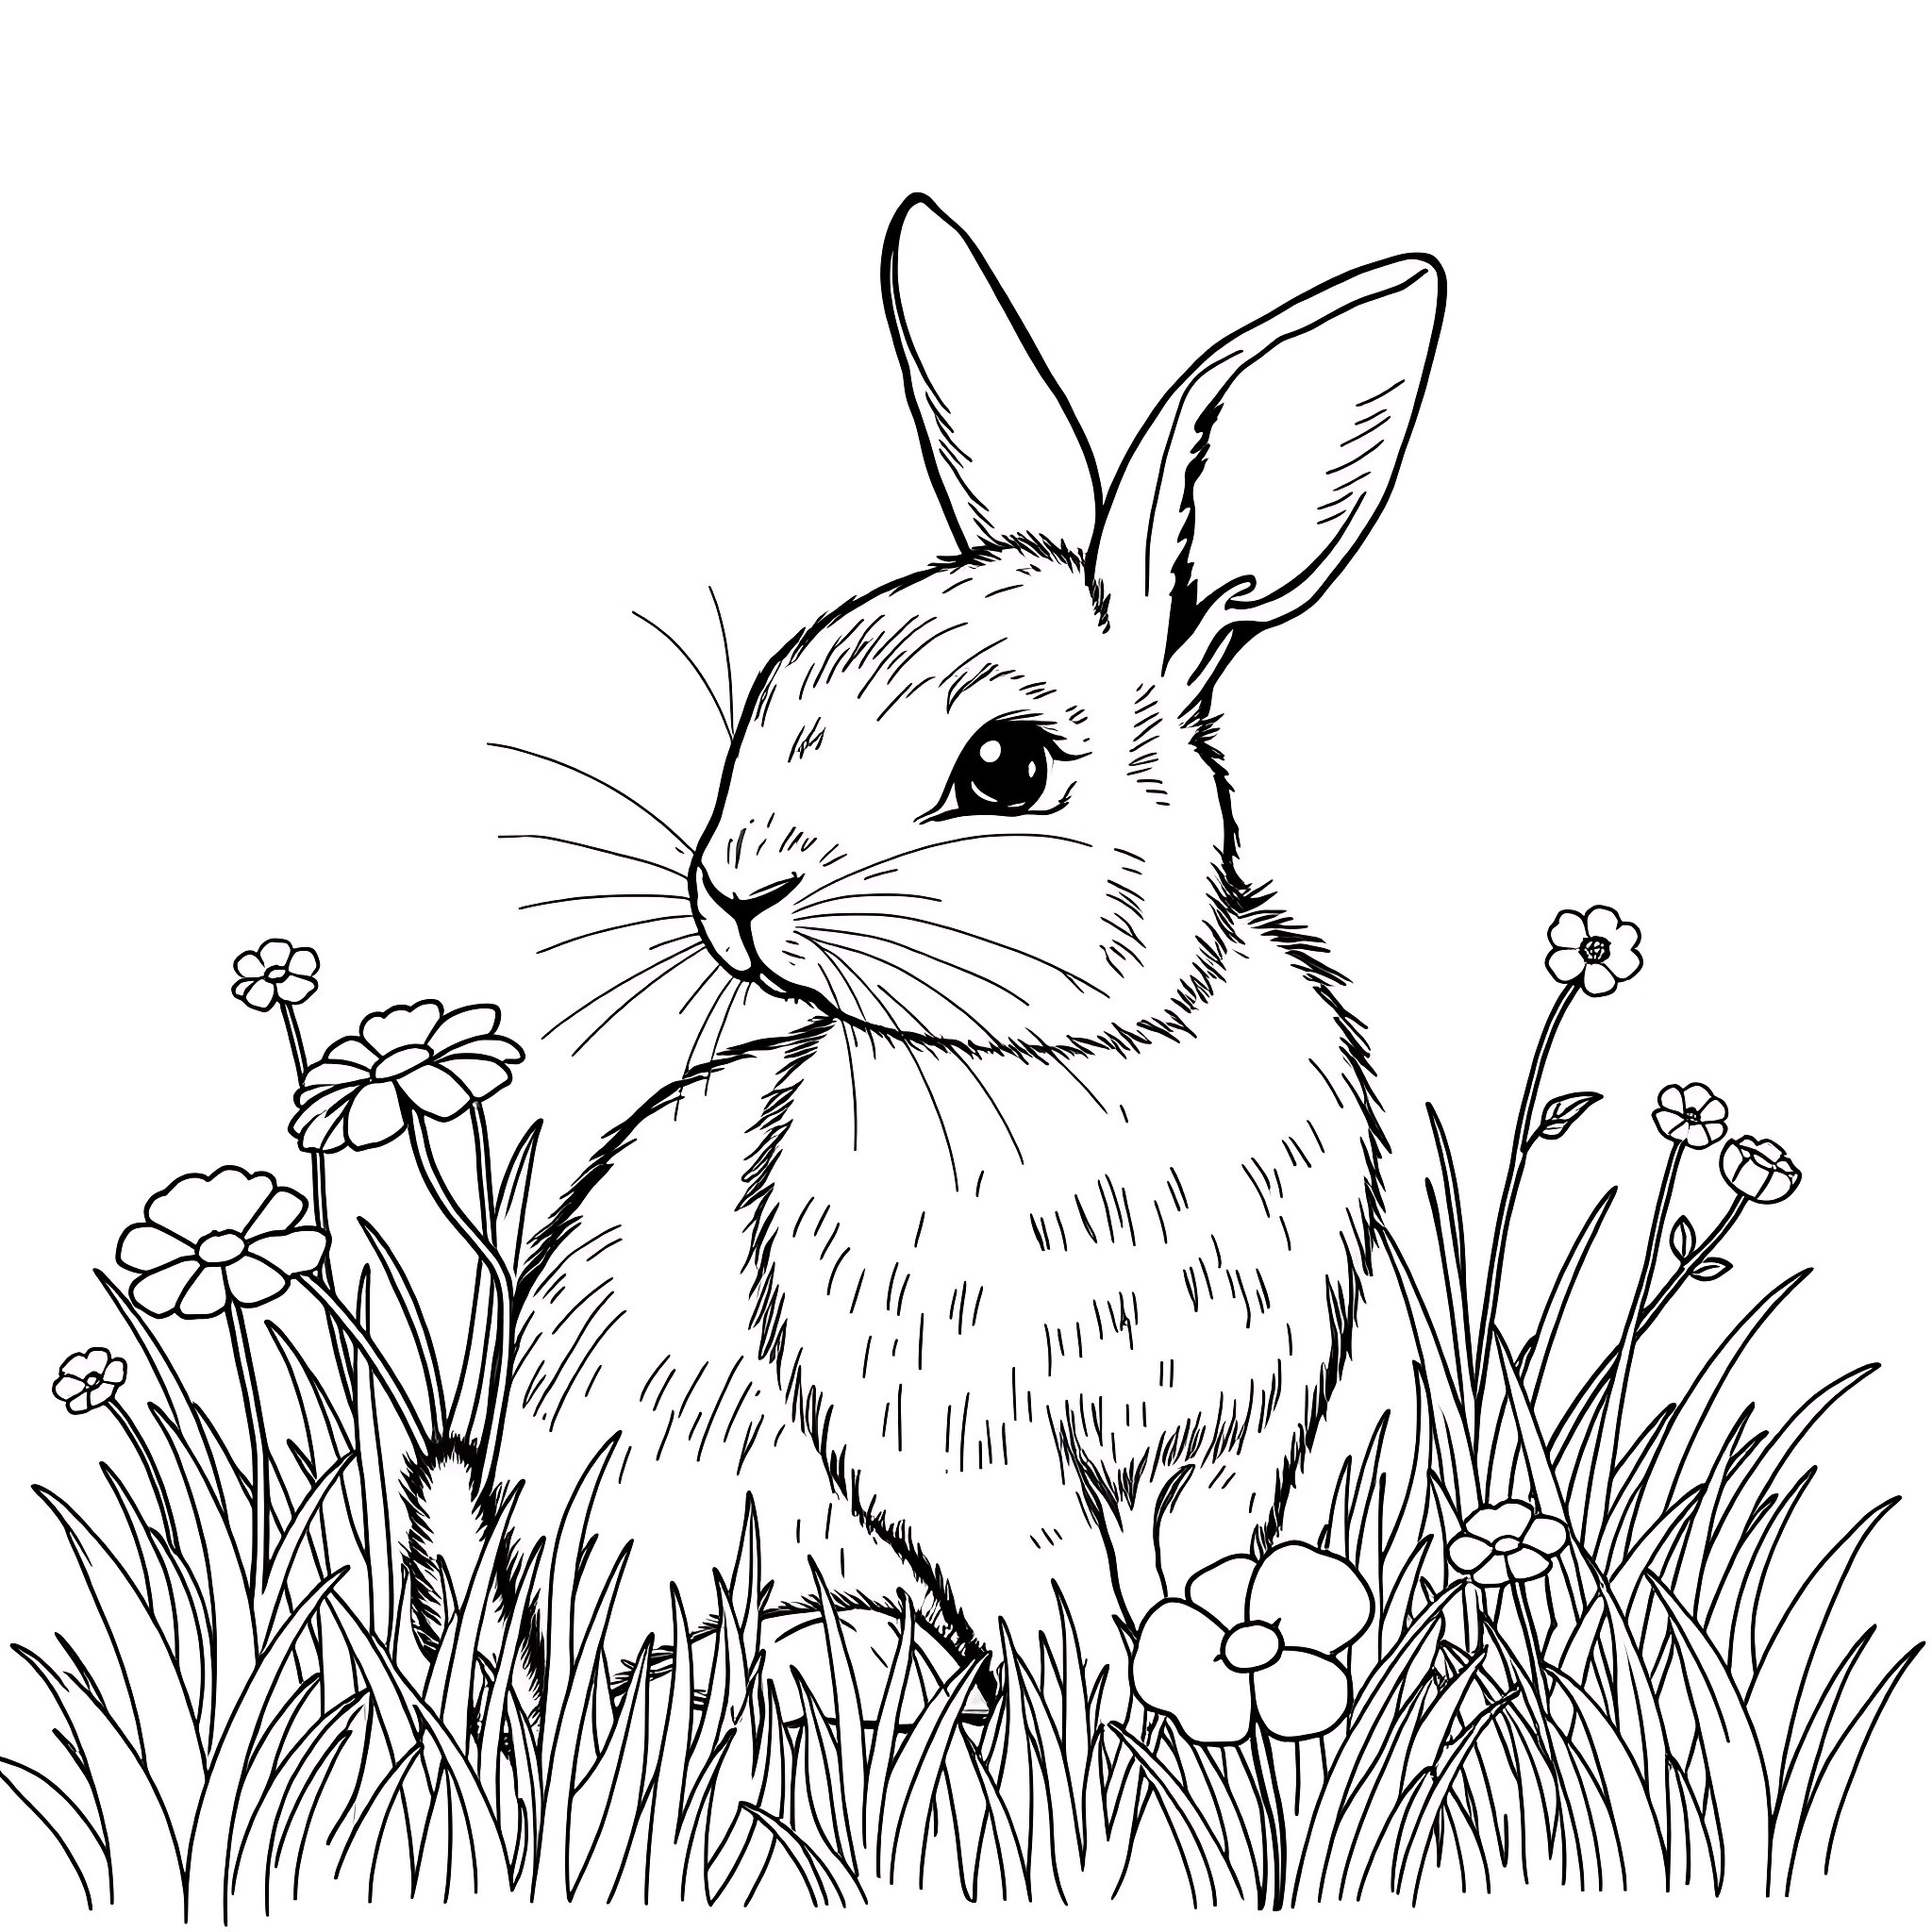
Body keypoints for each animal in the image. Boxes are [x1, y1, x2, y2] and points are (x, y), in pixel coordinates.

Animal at [415, 194, 1443, 1697]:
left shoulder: (1227, 1436)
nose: (733, 889)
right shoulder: (960, 1449)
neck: (1080, 1055)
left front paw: (1198, 1690)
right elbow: (1047, 1596)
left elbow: (1197, 1570)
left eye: (1004, 767)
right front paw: (1097, 1717)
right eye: (774, 686)